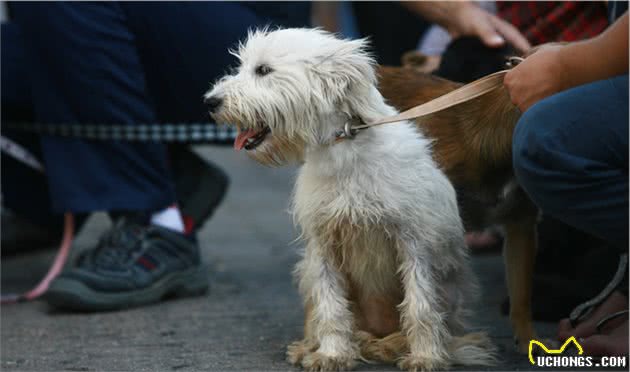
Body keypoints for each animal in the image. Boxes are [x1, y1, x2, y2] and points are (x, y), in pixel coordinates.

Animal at [205, 27, 496, 370]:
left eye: (263, 70)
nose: (211, 102)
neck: (344, 148)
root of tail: (379, 336)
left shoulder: (414, 244)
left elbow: (420, 304)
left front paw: (425, 356)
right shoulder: (323, 244)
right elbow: (331, 307)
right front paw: (332, 353)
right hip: (307, 271)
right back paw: (312, 347)